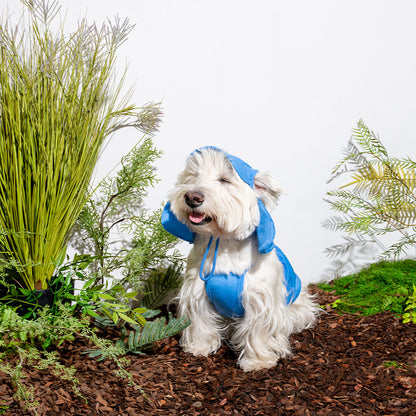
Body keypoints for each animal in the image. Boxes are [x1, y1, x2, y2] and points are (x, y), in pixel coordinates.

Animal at [162, 148, 318, 372]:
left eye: (225, 180)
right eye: (193, 176)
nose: (192, 197)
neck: (222, 243)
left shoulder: (259, 299)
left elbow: (258, 331)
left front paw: (258, 362)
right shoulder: (196, 292)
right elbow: (201, 321)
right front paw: (199, 347)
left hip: (298, 307)